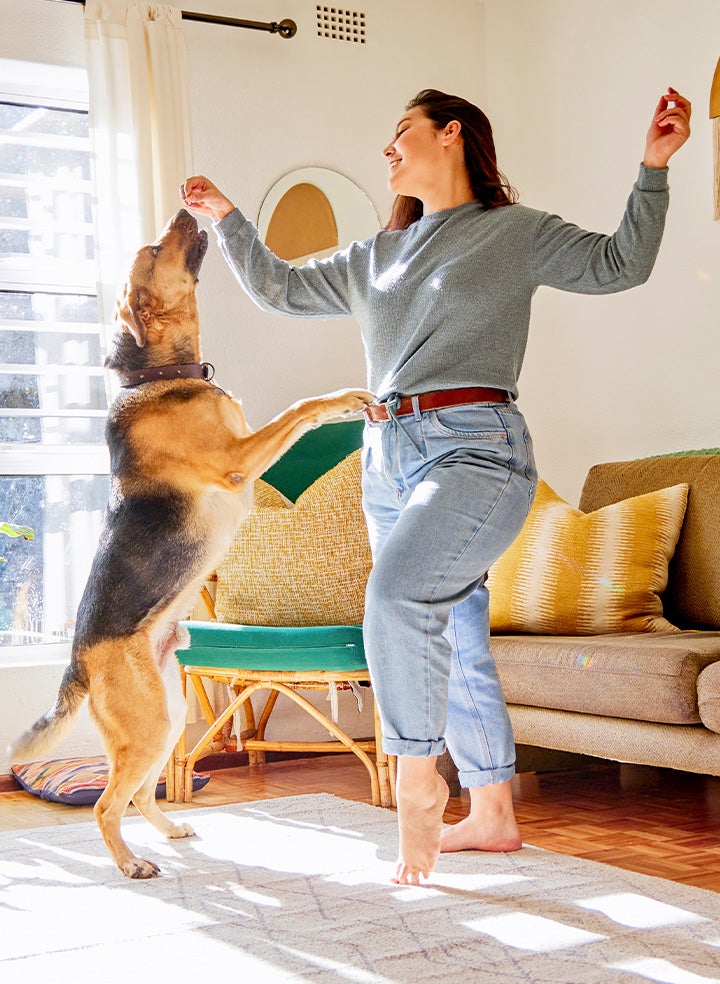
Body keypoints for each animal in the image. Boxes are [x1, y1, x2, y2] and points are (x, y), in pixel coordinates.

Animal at [8, 206, 374, 876]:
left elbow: (303, 415)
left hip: (168, 714)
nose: (187, 204)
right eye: (155, 250)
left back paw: (169, 831)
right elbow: (303, 407)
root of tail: (77, 661)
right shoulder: (238, 460)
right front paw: (344, 399)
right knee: (107, 804)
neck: (158, 374)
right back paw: (131, 864)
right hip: (151, 724)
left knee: (136, 795)